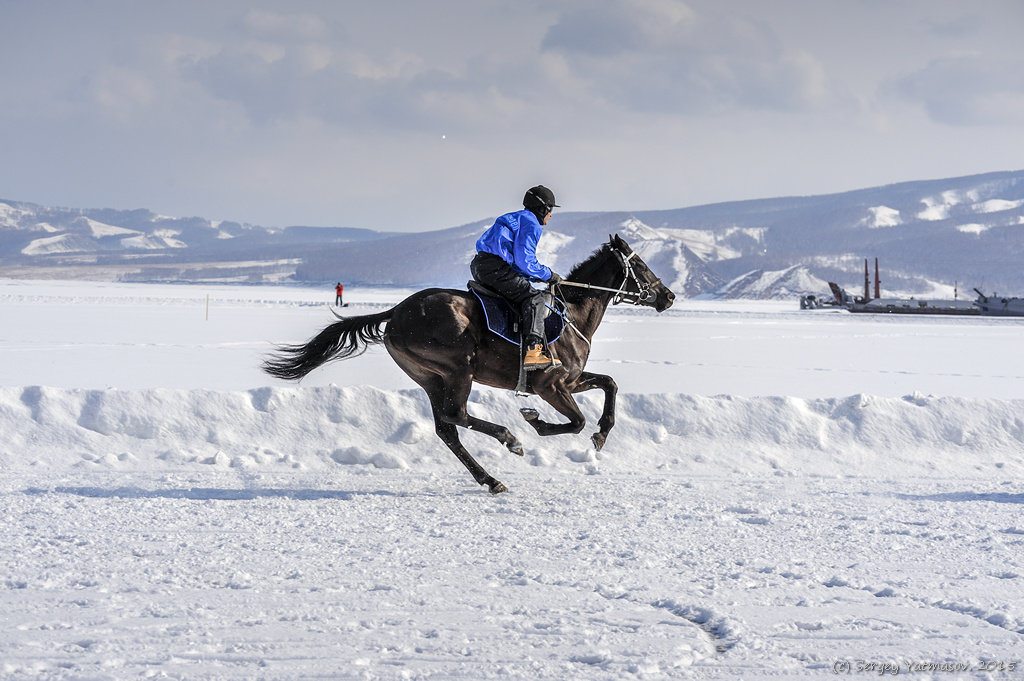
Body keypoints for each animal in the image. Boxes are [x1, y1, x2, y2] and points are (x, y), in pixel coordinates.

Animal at [264, 233, 675, 489]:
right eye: (641, 265)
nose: (668, 295)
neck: (571, 313)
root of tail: (396, 312)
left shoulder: (571, 379)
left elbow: (609, 383)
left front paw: (603, 433)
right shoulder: (550, 385)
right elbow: (576, 421)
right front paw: (536, 423)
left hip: (429, 378)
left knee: (446, 428)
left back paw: (491, 480)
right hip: (458, 368)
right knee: (456, 415)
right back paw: (510, 439)